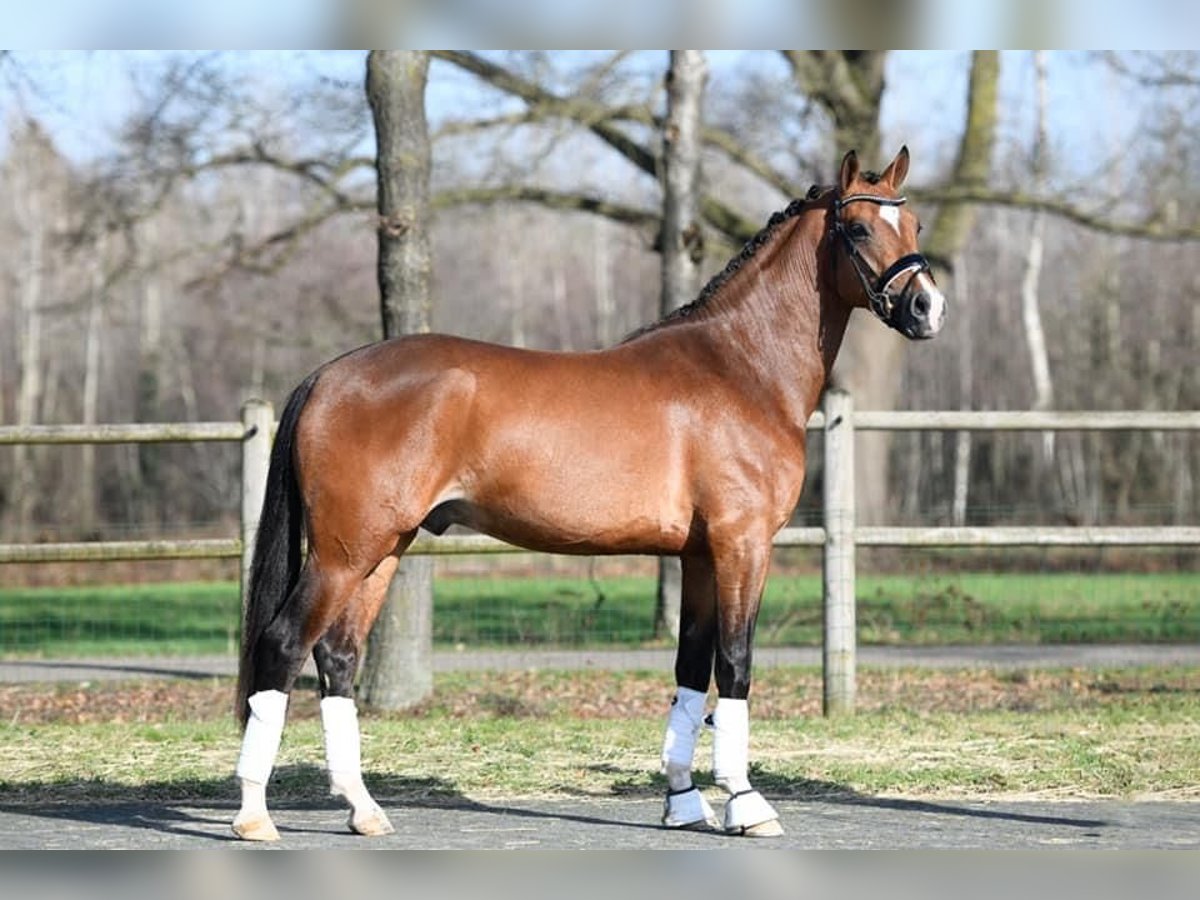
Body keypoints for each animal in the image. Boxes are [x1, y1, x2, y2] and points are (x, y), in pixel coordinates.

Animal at [234, 144, 945, 844]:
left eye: (913, 225)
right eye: (859, 228)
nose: (927, 309)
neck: (741, 367)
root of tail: (329, 375)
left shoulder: (698, 556)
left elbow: (691, 670)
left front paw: (683, 802)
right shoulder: (742, 544)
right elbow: (736, 665)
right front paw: (747, 804)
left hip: (382, 549)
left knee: (338, 656)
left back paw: (363, 809)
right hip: (343, 553)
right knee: (282, 645)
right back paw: (253, 815)